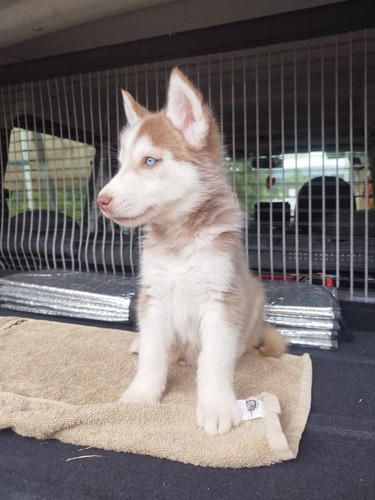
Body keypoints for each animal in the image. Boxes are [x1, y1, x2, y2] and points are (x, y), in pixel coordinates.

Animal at [97, 68, 284, 436]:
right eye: (121, 165)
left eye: (150, 161)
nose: (101, 200)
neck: (179, 240)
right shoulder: (153, 295)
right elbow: (153, 354)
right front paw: (143, 393)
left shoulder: (221, 299)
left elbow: (214, 361)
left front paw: (216, 406)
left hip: (255, 295)